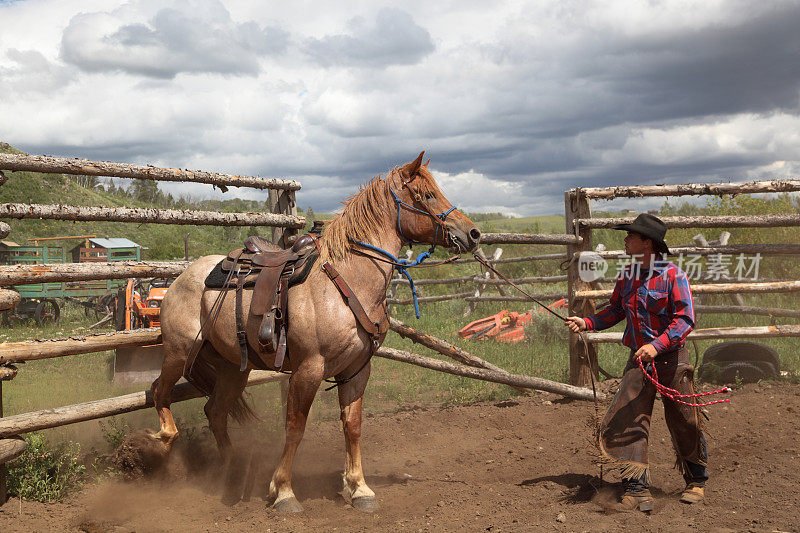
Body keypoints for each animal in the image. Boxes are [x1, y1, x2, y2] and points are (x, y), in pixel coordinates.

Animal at [147, 153, 478, 512]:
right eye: (427, 195)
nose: (473, 233)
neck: (347, 279)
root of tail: (181, 277)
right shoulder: (308, 368)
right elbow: (295, 427)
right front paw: (283, 492)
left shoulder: (356, 369)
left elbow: (353, 426)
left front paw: (359, 487)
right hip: (179, 352)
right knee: (160, 393)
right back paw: (163, 446)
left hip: (234, 368)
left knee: (215, 412)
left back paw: (233, 474)